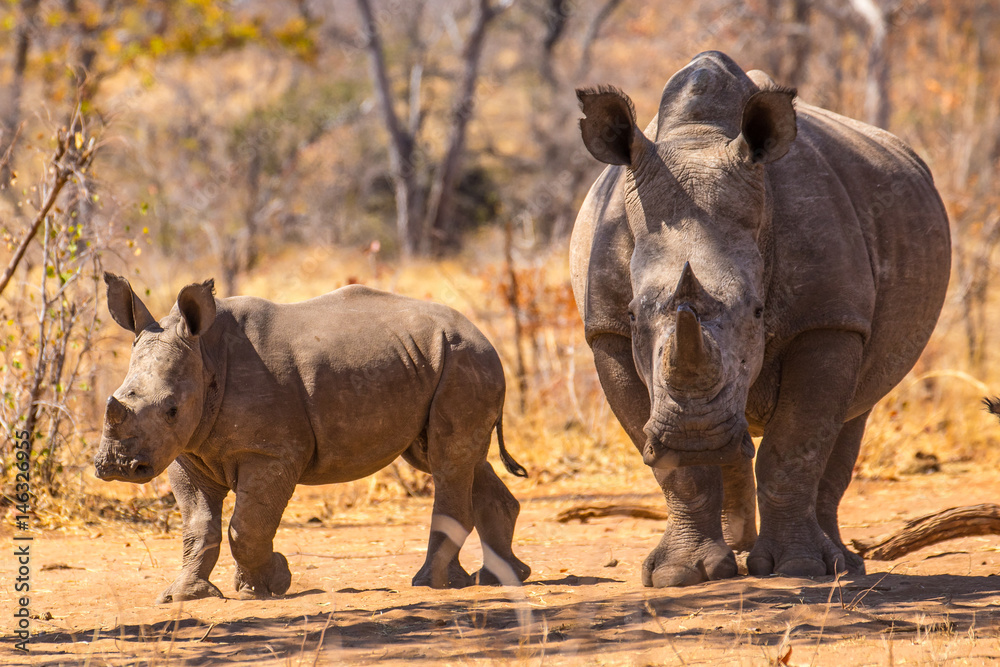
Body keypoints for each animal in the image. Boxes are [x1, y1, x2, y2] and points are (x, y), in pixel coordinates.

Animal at [95, 274, 530, 602]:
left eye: (172, 409)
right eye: (117, 395)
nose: (116, 466)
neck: (206, 354)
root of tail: (483, 335)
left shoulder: (271, 452)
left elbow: (246, 525)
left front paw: (268, 586)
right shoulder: (186, 452)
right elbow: (199, 525)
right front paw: (184, 596)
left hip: (464, 359)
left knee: (447, 461)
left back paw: (432, 584)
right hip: (435, 360)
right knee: (452, 459)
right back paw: (500, 578)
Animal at [571, 51, 950, 587]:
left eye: (757, 310)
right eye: (632, 312)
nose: (694, 432)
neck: (699, 141)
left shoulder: (828, 319)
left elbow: (794, 445)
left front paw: (800, 568)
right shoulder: (606, 330)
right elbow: (676, 469)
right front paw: (678, 576)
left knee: (853, 414)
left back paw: (840, 564)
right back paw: (733, 555)